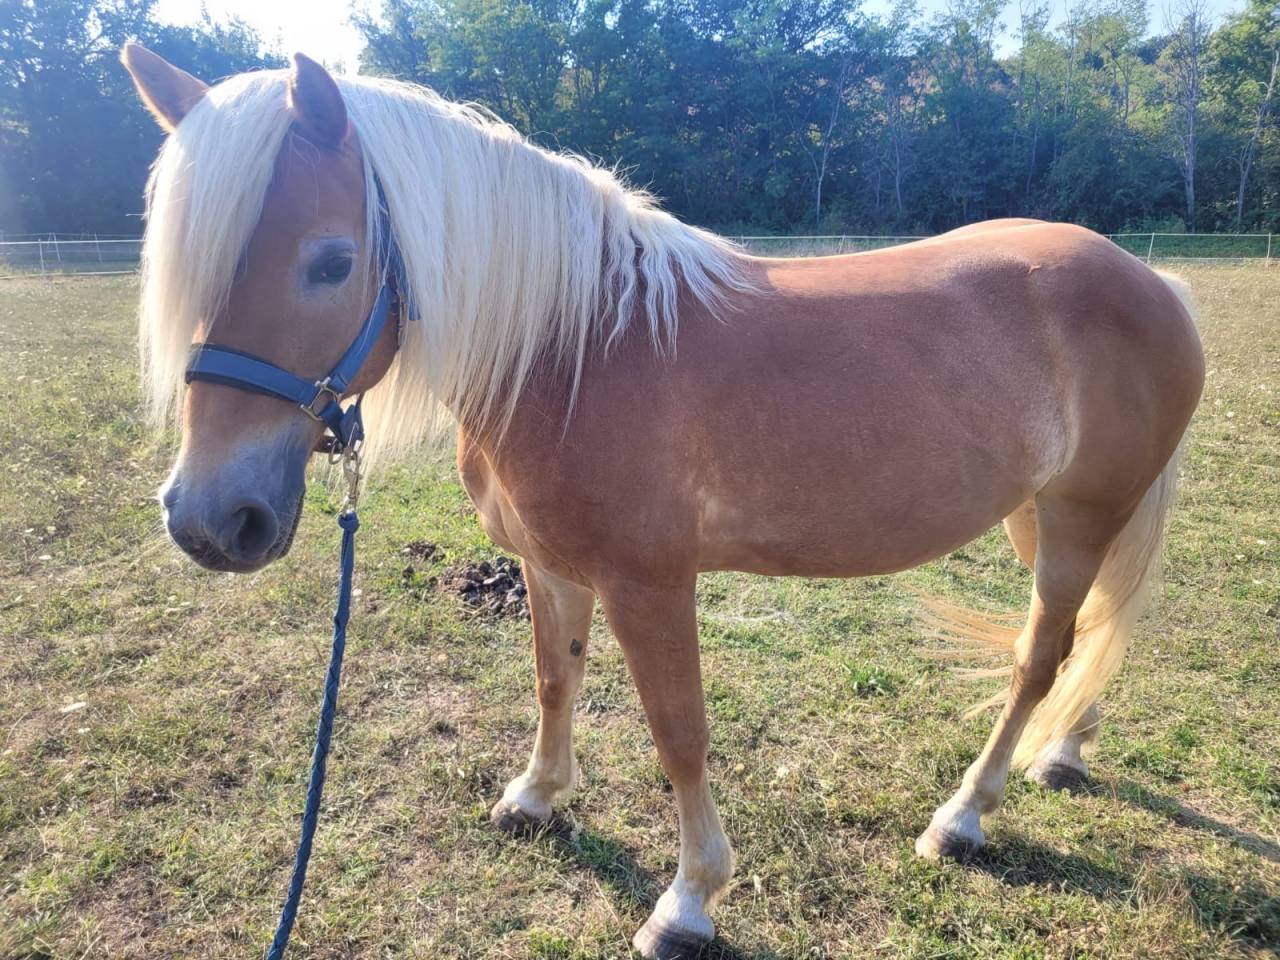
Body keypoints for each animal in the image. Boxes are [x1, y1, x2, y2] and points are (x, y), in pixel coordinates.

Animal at [122, 44, 1205, 959]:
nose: (208, 520)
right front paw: (537, 796)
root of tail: (1150, 279)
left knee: (1037, 655)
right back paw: (1063, 750)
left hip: (1077, 516)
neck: (570, 352)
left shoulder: (649, 585)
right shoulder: (547, 565)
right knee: (1086, 631)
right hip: (1036, 515)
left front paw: (687, 901)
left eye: (332, 261)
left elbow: (678, 731)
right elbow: (553, 680)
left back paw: (964, 814)